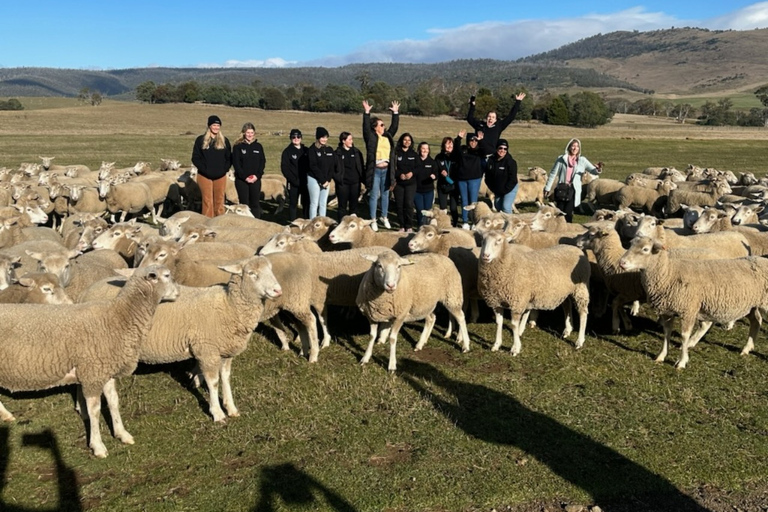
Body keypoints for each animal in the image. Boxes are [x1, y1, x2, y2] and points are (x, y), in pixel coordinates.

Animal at [0, 266, 178, 458]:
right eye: (166, 275)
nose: (178, 292)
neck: (119, 316)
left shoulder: (104, 369)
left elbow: (113, 401)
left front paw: (122, 433)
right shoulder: (92, 373)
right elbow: (95, 410)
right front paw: (98, 445)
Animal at [80, 255, 282, 420]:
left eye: (271, 269)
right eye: (252, 273)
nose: (278, 291)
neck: (228, 306)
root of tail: (89, 290)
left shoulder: (225, 351)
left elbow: (225, 378)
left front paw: (231, 408)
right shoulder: (206, 350)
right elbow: (213, 382)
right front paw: (217, 413)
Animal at [616, 236, 768, 368]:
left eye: (645, 249)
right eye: (630, 245)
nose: (622, 263)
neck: (669, 273)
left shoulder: (688, 309)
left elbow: (684, 336)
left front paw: (682, 362)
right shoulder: (667, 310)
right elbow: (667, 332)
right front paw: (661, 356)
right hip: (751, 305)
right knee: (756, 321)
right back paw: (746, 349)